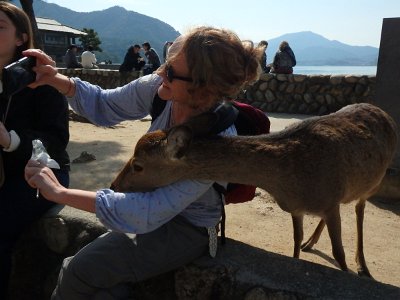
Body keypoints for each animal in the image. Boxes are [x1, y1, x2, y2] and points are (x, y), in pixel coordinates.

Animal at [111, 102, 396, 276]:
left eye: (138, 165)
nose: (114, 185)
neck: (290, 179)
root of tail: (385, 114)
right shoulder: (298, 208)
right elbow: (294, 244)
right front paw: (301, 248)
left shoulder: (329, 200)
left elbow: (339, 252)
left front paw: (347, 270)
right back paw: (310, 243)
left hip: (374, 181)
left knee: (359, 209)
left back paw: (363, 266)